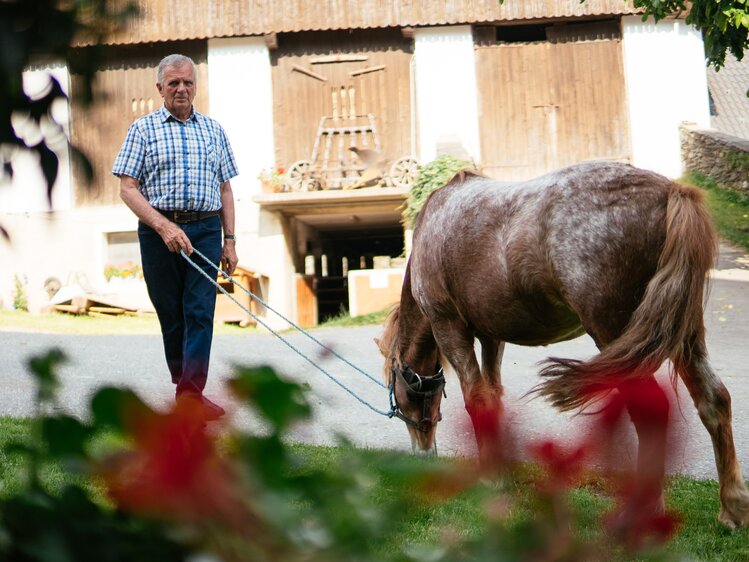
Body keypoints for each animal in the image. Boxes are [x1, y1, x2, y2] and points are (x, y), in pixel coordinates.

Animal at [376, 160, 748, 528]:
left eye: (401, 388)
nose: (424, 451)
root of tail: (669, 190)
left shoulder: (450, 327)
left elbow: (477, 398)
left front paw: (490, 478)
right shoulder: (491, 336)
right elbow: (494, 396)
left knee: (653, 411)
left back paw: (642, 510)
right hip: (683, 337)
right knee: (714, 399)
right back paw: (732, 508)